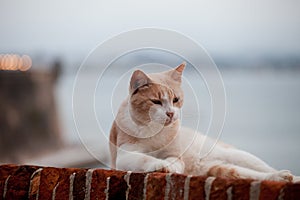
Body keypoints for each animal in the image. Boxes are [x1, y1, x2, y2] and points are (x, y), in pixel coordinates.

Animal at [109, 63, 296, 182]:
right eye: (156, 102)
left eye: (176, 100)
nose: (170, 113)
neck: (156, 130)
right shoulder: (124, 156)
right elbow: (144, 158)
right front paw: (160, 164)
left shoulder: (176, 155)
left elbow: (175, 162)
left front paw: (169, 166)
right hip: (220, 169)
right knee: (252, 175)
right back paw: (281, 177)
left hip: (236, 155)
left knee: (264, 168)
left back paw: (287, 176)